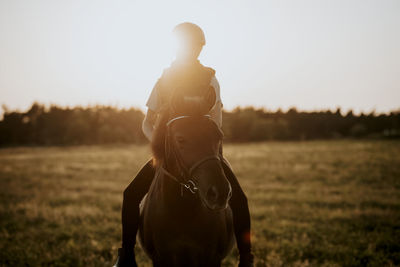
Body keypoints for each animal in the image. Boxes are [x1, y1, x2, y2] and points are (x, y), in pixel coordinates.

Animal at [138, 95, 234, 266]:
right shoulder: (160, 258)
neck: (182, 210)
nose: (220, 192)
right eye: (180, 139)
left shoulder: (212, 258)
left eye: (219, 136)